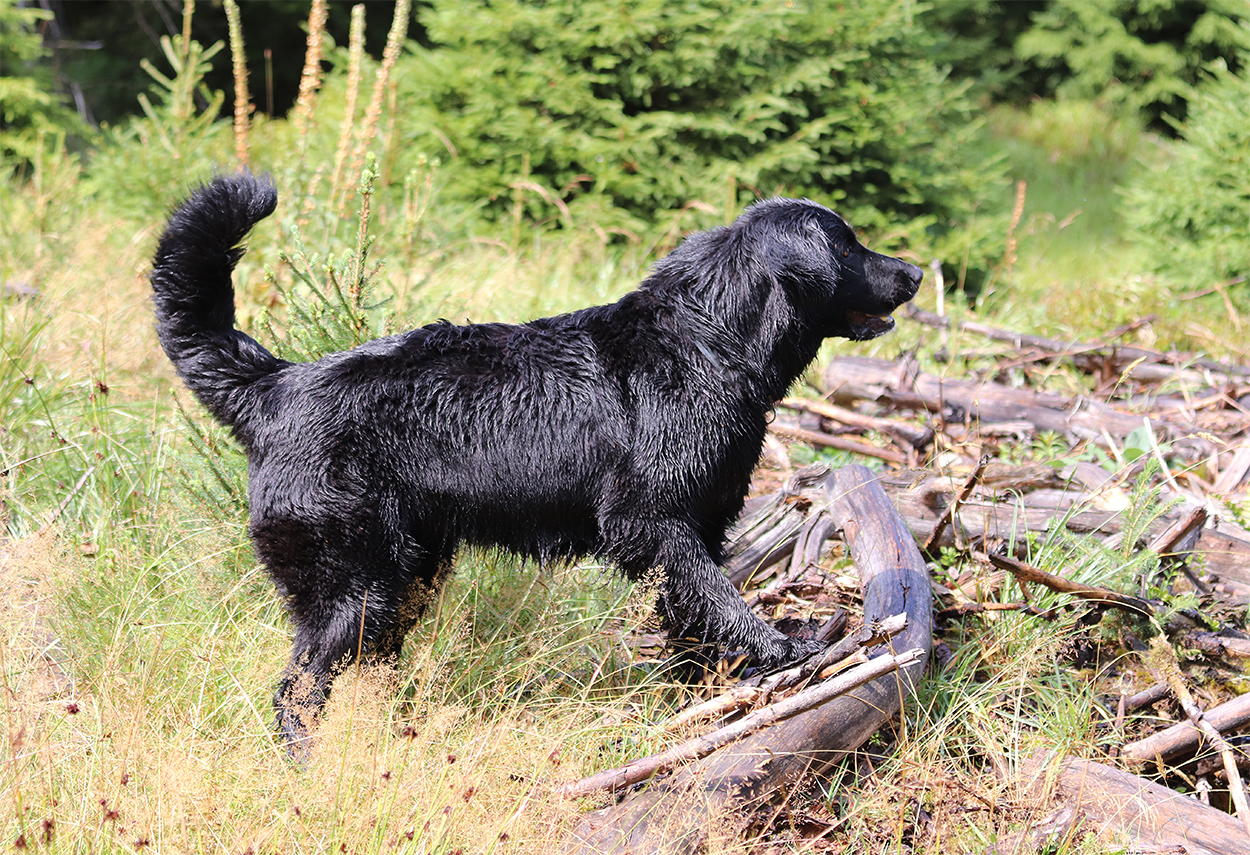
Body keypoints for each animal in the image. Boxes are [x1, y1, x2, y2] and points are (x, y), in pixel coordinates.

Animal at [150, 172, 922, 747]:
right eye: (849, 245)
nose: (914, 270)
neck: (707, 341)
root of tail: (274, 387)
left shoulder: (699, 524)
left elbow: (691, 614)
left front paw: (702, 691)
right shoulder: (652, 525)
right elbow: (719, 596)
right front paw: (784, 649)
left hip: (404, 579)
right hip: (352, 585)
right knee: (297, 691)